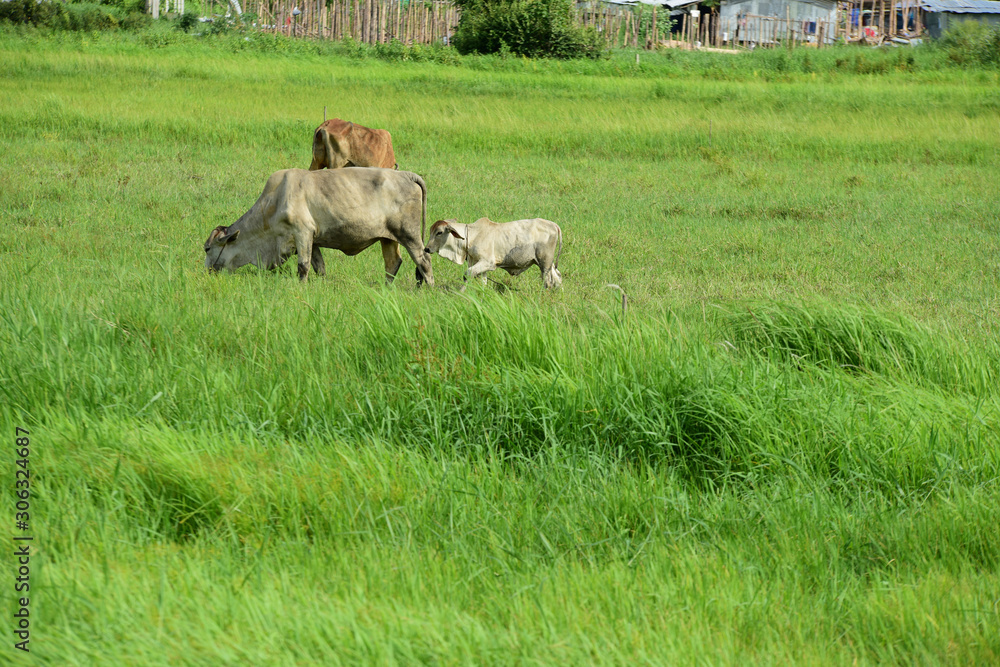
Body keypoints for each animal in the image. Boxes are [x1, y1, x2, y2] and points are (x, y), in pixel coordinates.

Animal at [204, 168, 433, 286]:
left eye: (207, 248)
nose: (206, 271)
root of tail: (406, 174)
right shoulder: (312, 240)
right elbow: (319, 267)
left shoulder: (302, 232)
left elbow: (303, 266)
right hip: (388, 238)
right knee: (393, 263)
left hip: (409, 234)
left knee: (424, 260)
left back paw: (428, 289)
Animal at [424, 217, 562, 289]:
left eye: (439, 232)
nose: (427, 249)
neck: (471, 236)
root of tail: (554, 225)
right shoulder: (479, 264)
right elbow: (483, 281)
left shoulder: (487, 262)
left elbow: (467, 274)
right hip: (548, 264)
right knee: (557, 278)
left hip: (544, 264)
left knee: (547, 282)